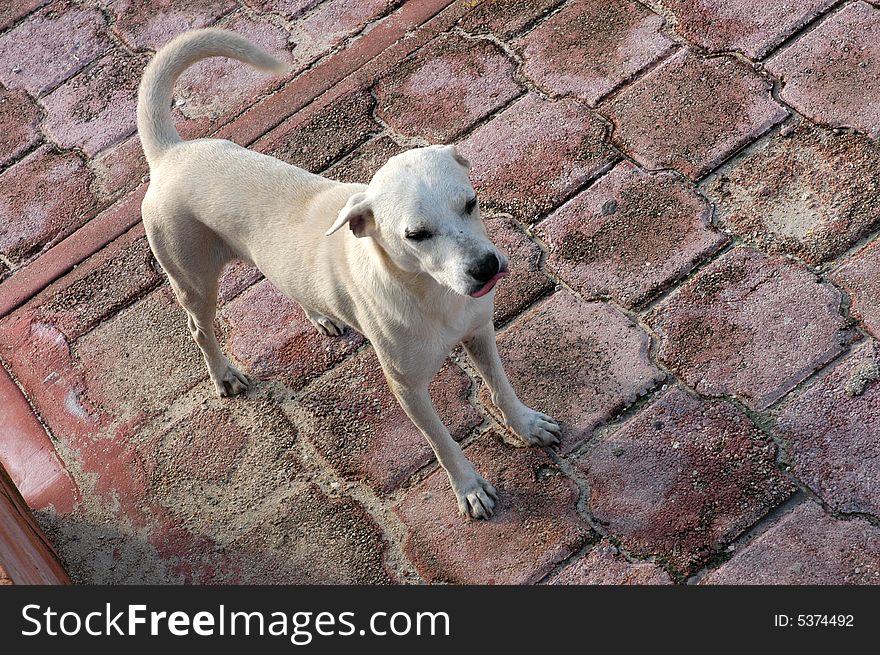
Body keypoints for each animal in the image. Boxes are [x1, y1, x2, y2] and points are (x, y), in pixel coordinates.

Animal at [139, 30, 564, 520]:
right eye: (416, 235)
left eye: (470, 204)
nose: (486, 268)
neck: (431, 294)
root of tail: (171, 153)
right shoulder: (407, 388)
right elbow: (442, 443)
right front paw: (469, 488)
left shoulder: (480, 333)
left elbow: (501, 389)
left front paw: (526, 425)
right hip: (193, 282)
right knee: (199, 329)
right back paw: (222, 374)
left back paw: (320, 316)